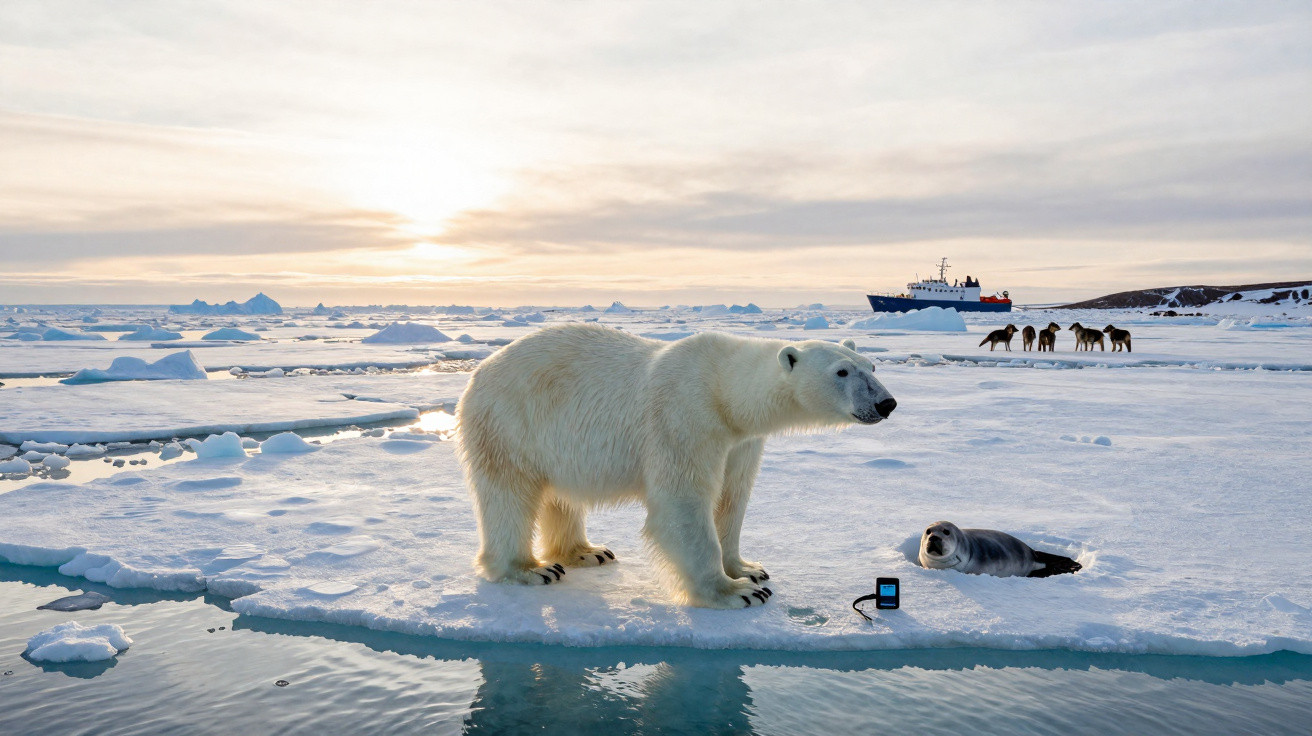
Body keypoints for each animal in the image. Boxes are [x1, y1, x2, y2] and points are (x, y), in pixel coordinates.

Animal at [455, 323, 897, 609]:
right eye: (841, 371)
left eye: (872, 366)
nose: (886, 403)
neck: (724, 390)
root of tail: (480, 371)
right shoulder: (685, 417)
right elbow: (683, 505)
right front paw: (738, 591)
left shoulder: (740, 441)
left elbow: (732, 498)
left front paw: (749, 568)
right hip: (510, 421)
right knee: (509, 495)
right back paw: (531, 570)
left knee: (560, 496)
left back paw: (588, 552)